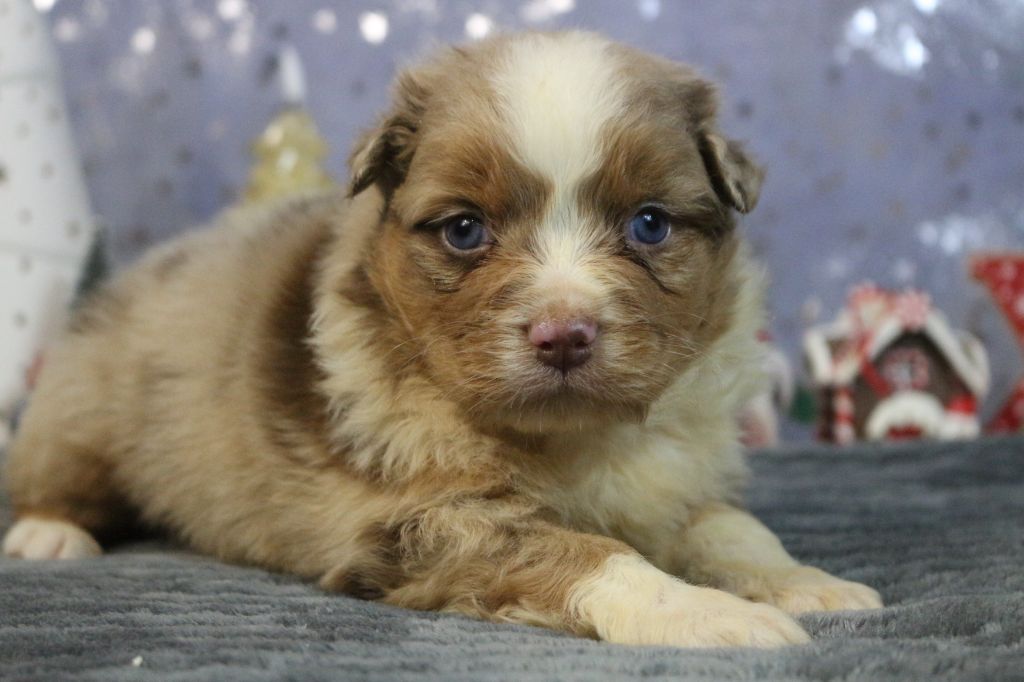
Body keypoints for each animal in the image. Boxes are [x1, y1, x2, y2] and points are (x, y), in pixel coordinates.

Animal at [0, 31, 880, 647]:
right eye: (464, 231)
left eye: (650, 224)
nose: (564, 336)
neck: (574, 437)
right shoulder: (412, 520)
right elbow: (585, 553)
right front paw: (702, 613)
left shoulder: (675, 476)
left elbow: (732, 526)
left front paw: (800, 580)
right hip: (82, 407)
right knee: (52, 472)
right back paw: (49, 533)